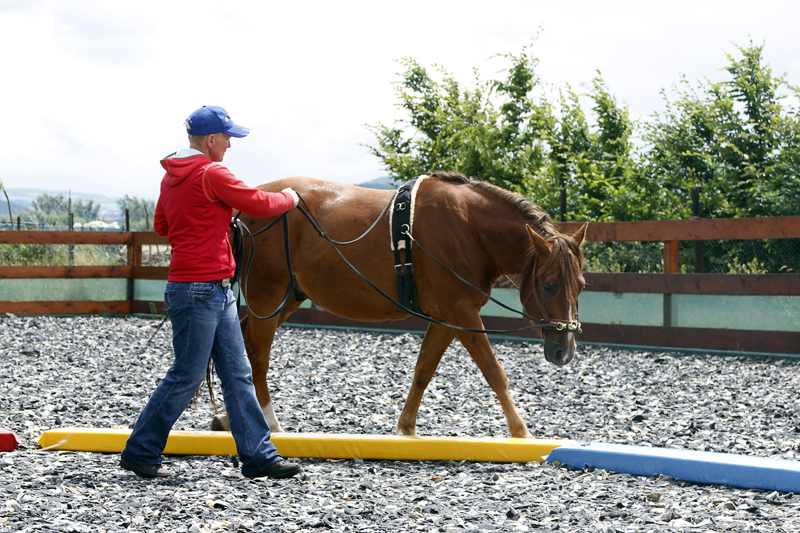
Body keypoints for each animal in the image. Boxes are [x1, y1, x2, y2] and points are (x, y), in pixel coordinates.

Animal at [214, 170, 588, 436]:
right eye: (549, 286)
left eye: (581, 286)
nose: (564, 351)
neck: (469, 228)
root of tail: (244, 211)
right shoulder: (461, 312)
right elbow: (494, 372)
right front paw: (521, 432)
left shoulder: (447, 317)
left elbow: (423, 370)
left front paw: (406, 428)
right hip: (268, 295)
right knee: (257, 357)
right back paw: (270, 423)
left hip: (287, 299)